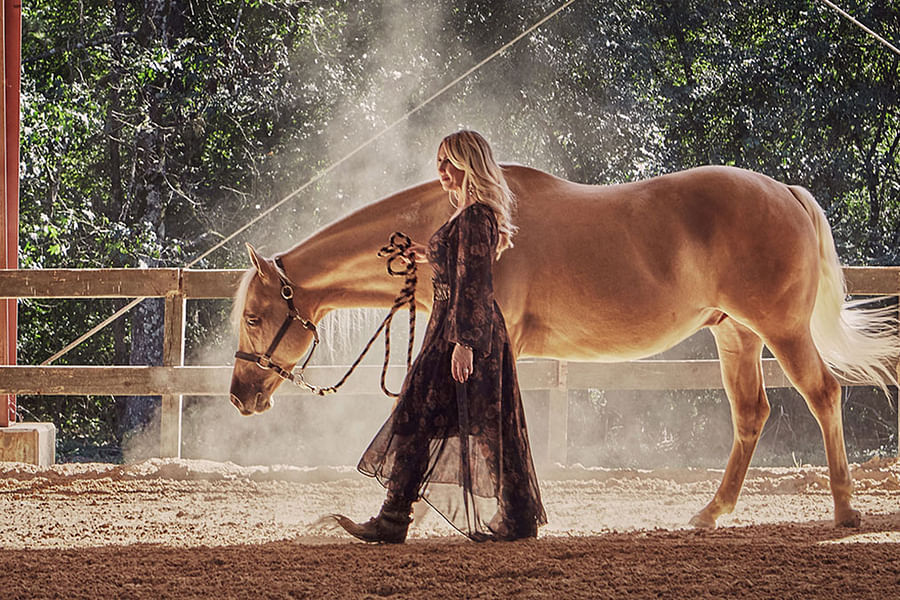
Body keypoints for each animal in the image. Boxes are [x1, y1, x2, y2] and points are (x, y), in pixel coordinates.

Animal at [229, 164, 899, 529]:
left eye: (256, 317)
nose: (240, 394)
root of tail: (784, 191)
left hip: (781, 330)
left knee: (823, 394)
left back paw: (844, 512)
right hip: (734, 333)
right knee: (752, 414)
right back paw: (711, 511)